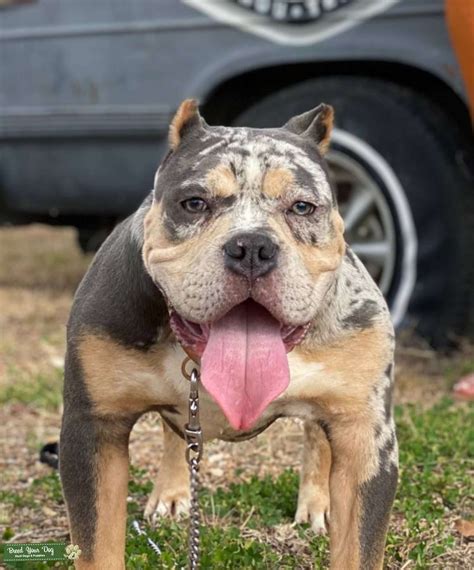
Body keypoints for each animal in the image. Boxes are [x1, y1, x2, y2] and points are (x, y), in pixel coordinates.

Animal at [60, 100, 400, 564]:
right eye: (194, 203)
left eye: (302, 207)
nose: (252, 247)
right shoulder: (94, 428)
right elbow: (97, 548)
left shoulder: (368, 441)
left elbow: (358, 550)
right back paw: (172, 494)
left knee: (316, 434)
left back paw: (317, 502)